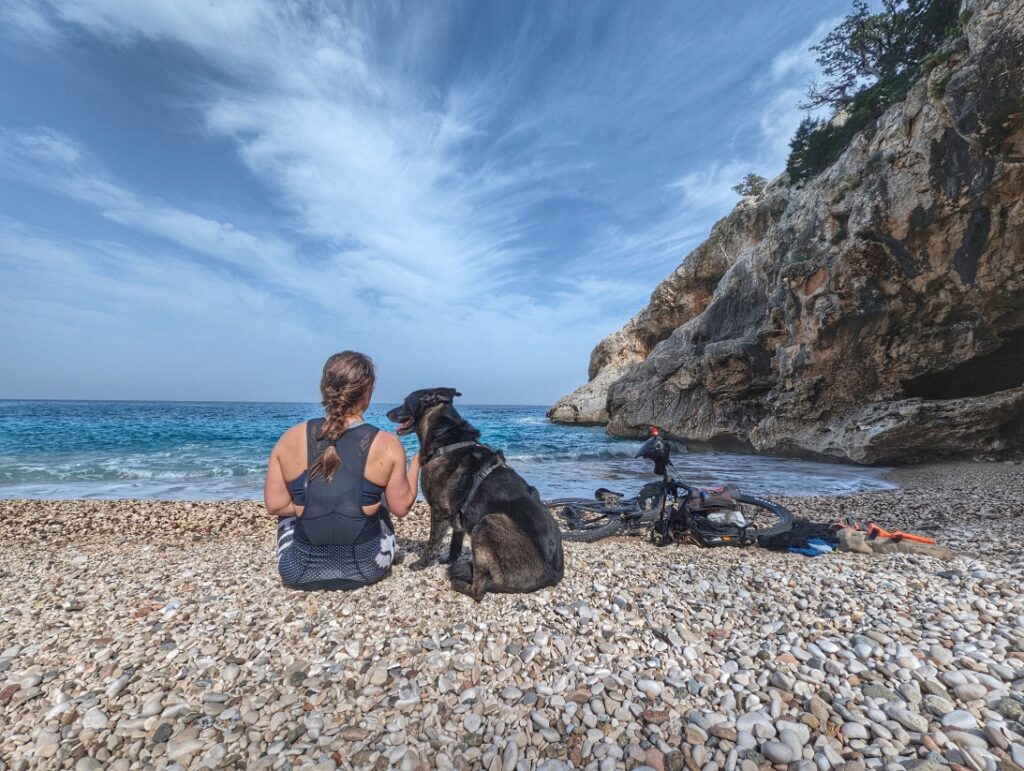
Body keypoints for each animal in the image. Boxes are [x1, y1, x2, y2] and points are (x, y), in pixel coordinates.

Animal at [387, 387, 565, 597]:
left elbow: (432, 543)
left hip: (488, 522)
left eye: (405, 401)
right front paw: (449, 560)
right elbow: (455, 546)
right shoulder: (457, 519)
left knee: (479, 590)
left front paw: (421, 564)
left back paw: (460, 583)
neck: (446, 439)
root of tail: (553, 573)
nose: (387, 413)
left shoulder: (439, 512)